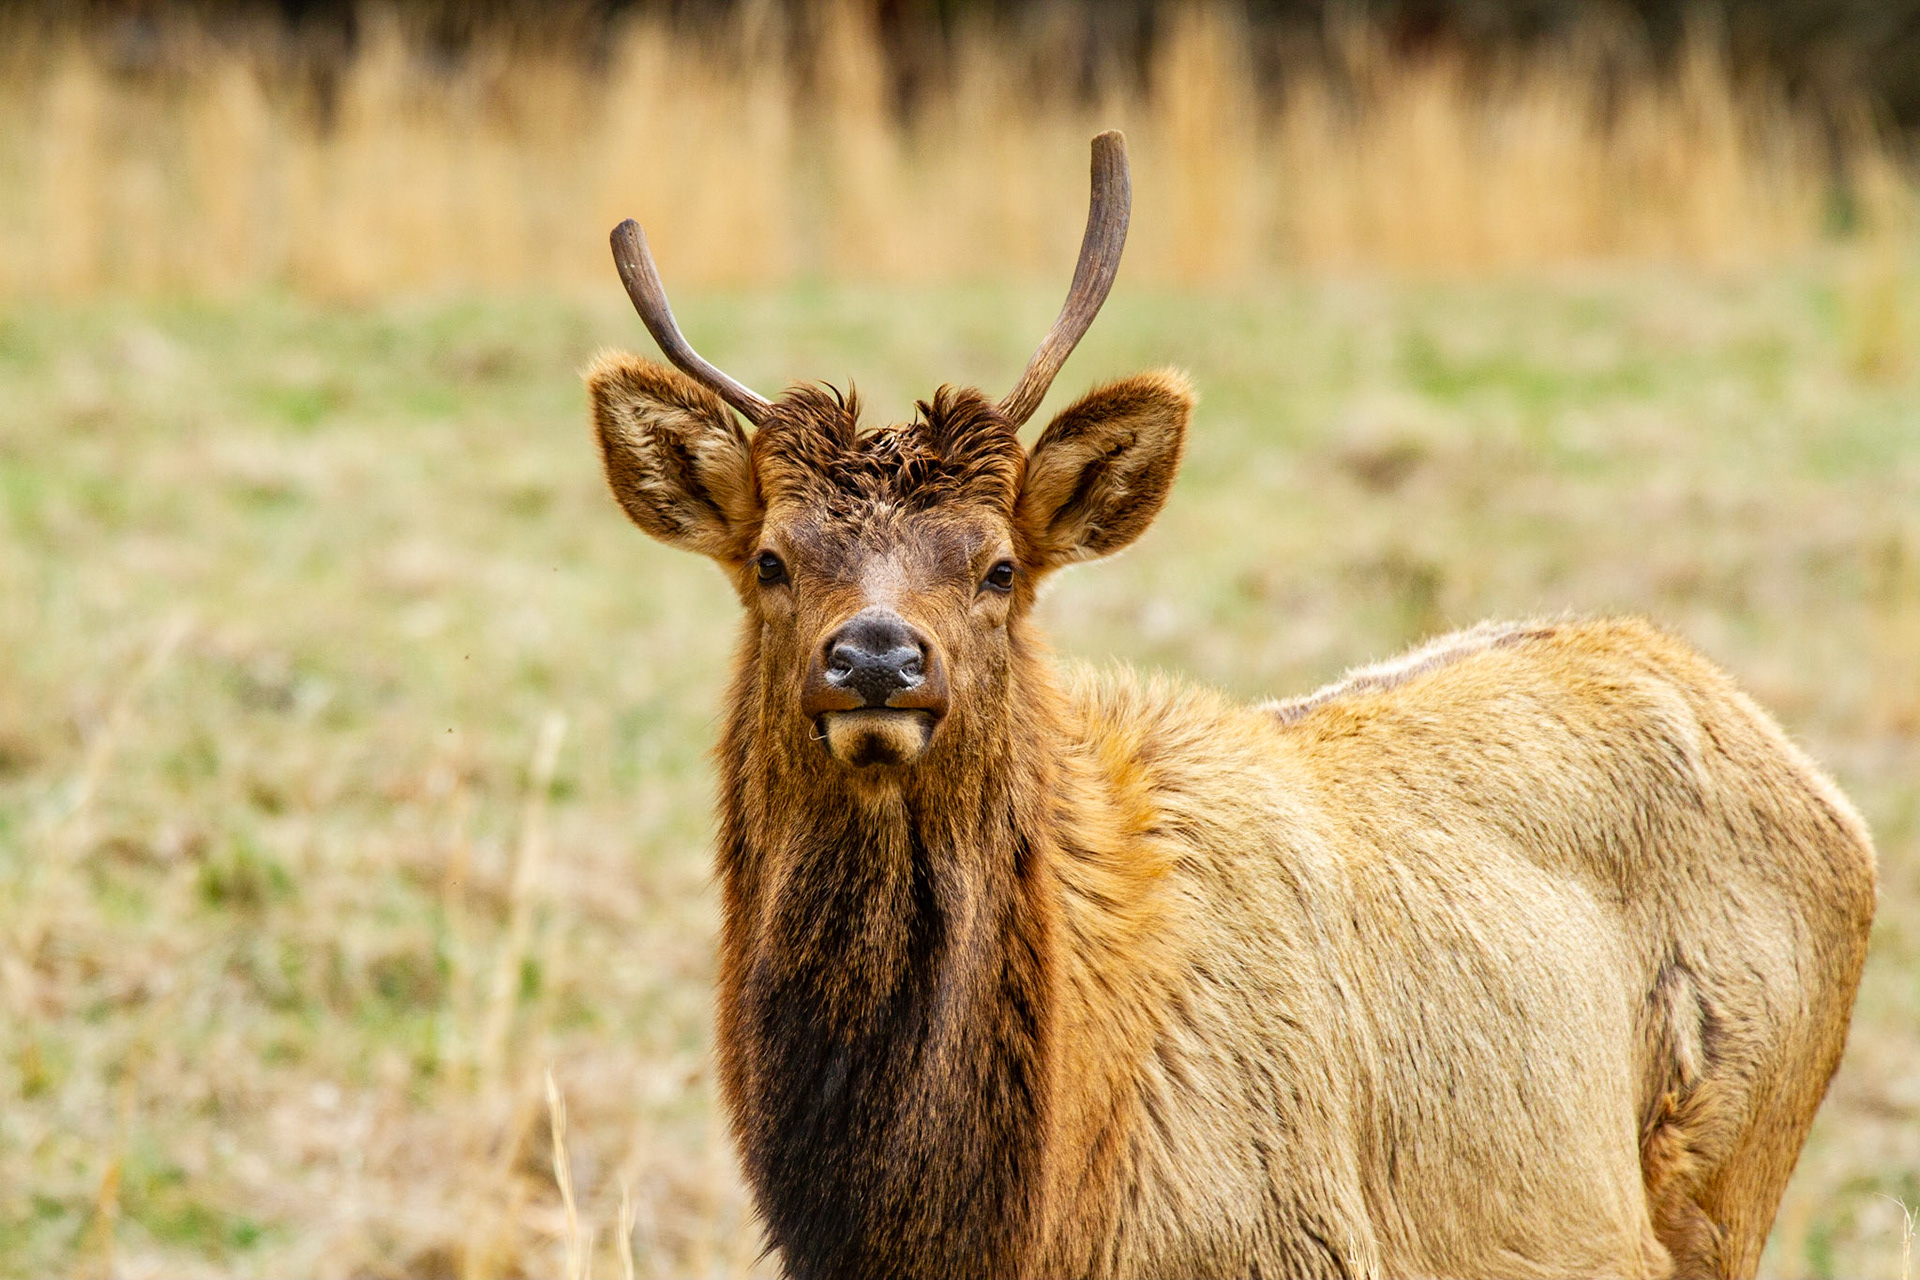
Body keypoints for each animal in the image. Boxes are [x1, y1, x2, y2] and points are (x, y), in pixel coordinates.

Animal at [583, 132, 1876, 1279]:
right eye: (772, 559)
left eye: (997, 567)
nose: (876, 657)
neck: (1019, 1207)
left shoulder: (1294, 1237)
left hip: (1731, 1174)